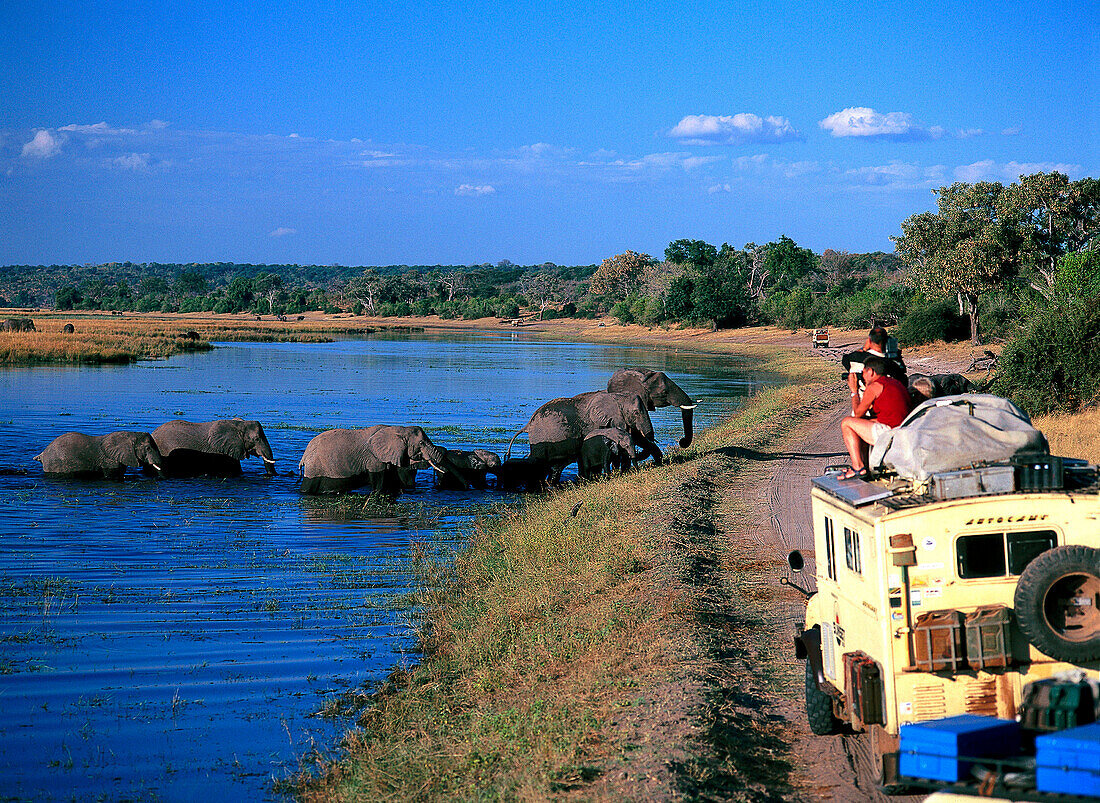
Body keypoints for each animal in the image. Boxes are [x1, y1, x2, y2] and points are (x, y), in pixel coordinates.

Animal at [299, 422, 466, 497]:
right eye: (421, 443)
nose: (466, 487)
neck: (398, 429)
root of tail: (304, 457)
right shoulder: (374, 459)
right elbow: (379, 483)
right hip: (315, 468)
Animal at [506, 387, 660, 481]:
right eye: (636, 413)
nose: (660, 463)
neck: (616, 396)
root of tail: (528, 425)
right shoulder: (595, 424)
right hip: (539, 440)